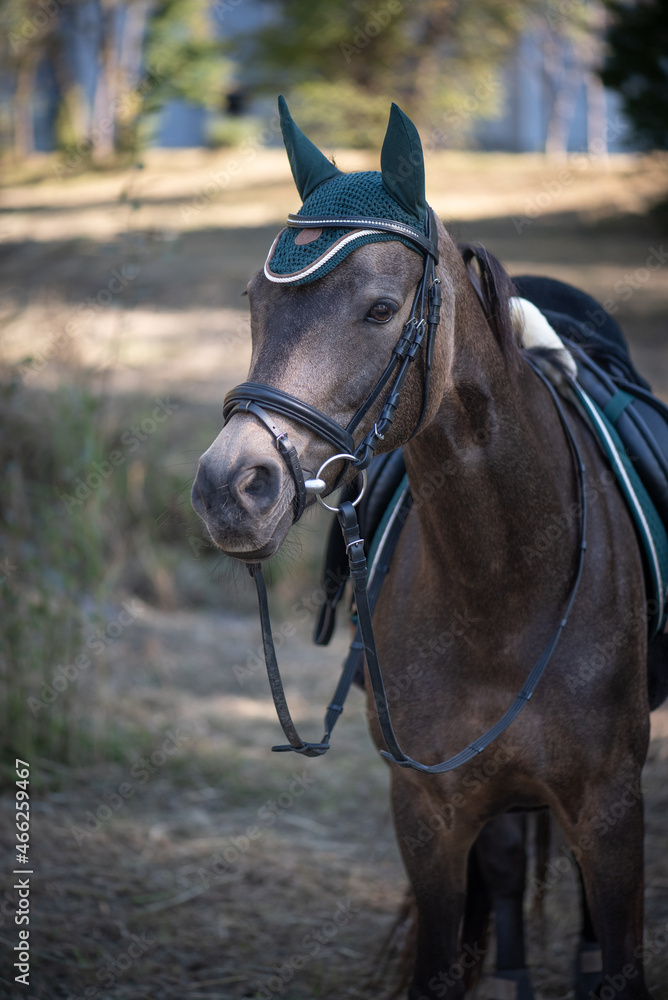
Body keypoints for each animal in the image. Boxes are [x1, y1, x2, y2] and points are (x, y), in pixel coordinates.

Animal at [191, 97, 662, 999]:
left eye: (380, 309)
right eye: (254, 302)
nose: (231, 488)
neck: (504, 582)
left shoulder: (612, 808)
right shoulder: (428, 812)